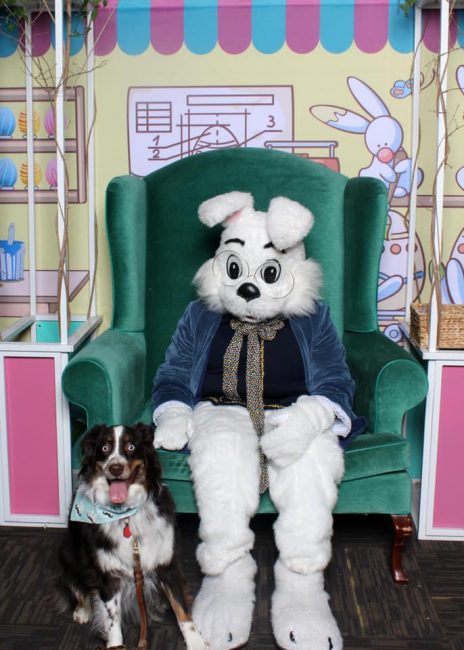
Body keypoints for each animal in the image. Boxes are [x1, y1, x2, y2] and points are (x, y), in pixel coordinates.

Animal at [57, 422, 208, 649]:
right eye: (104, 448)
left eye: (131, 446)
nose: (115, 468)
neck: (126, 514)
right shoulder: (108, 574)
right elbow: (113, 621)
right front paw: (115, 643)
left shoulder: (167, 564)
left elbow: (182, 610)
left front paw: (196, 642)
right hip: (68, 553)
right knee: (76, 584)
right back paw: (83, 610)